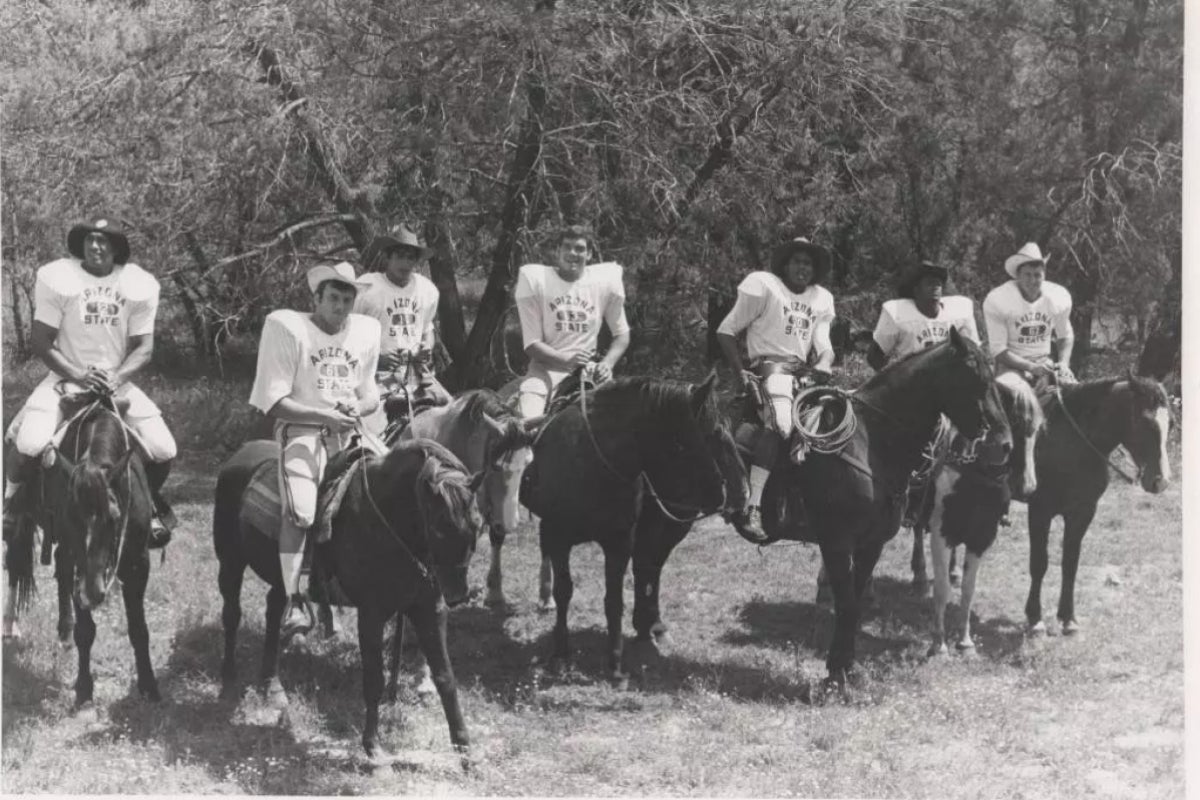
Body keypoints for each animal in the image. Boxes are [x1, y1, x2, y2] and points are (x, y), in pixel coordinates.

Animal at [216, 438, 482, 758]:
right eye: (440, 527)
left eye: (478, 525)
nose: (457, 594)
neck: (387, 521)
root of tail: (239, 456)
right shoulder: (371, 613)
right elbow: (374, 680)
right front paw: (373, 746)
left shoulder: (429, 609)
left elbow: (445, 677)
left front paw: (465, 747)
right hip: (230, 562)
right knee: (232, 615)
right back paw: (228, 680)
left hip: (280, 575)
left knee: (273, 609)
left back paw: (273, 686)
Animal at [1022, 371, 1171, 633]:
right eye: (1145, 423)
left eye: (1169, 424)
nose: (1161, 481)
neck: (1070, 443)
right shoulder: (1039, 510)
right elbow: (1039, 563)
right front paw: (1035, 617)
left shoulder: (1083, 512)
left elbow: (1070, 563)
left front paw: (1068, 618)